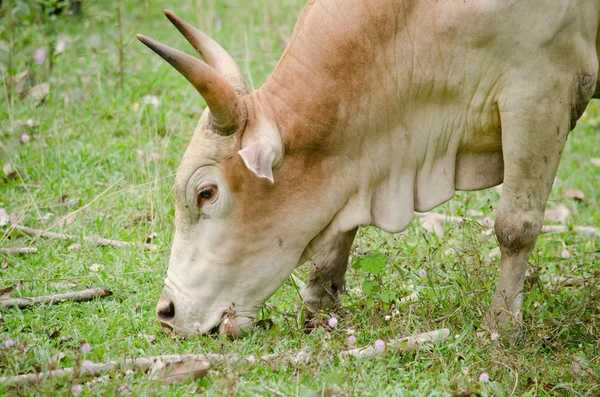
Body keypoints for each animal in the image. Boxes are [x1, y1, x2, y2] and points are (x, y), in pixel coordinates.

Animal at [137, 0, 600, 338]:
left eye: (206, 192)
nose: (167, 312)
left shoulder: (541, 91)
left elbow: (515, 227)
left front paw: (502, 325)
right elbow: (336, 233)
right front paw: (318, 307)